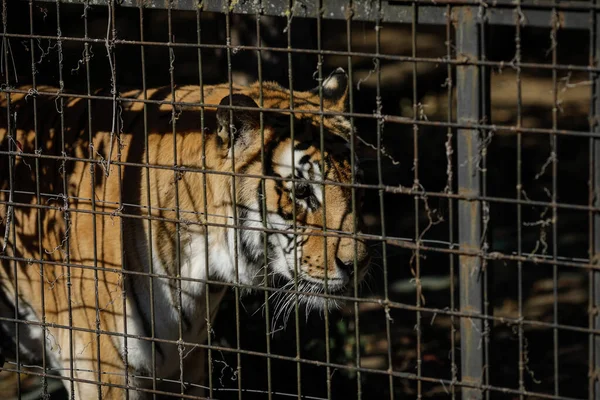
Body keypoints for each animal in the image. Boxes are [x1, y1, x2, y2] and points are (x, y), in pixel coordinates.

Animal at [0, 67, 370, 398]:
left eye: (357, 184)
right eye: (304, 191)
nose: (359, 265)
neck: (201, 269)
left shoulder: (185, 367)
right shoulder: (101, 370)